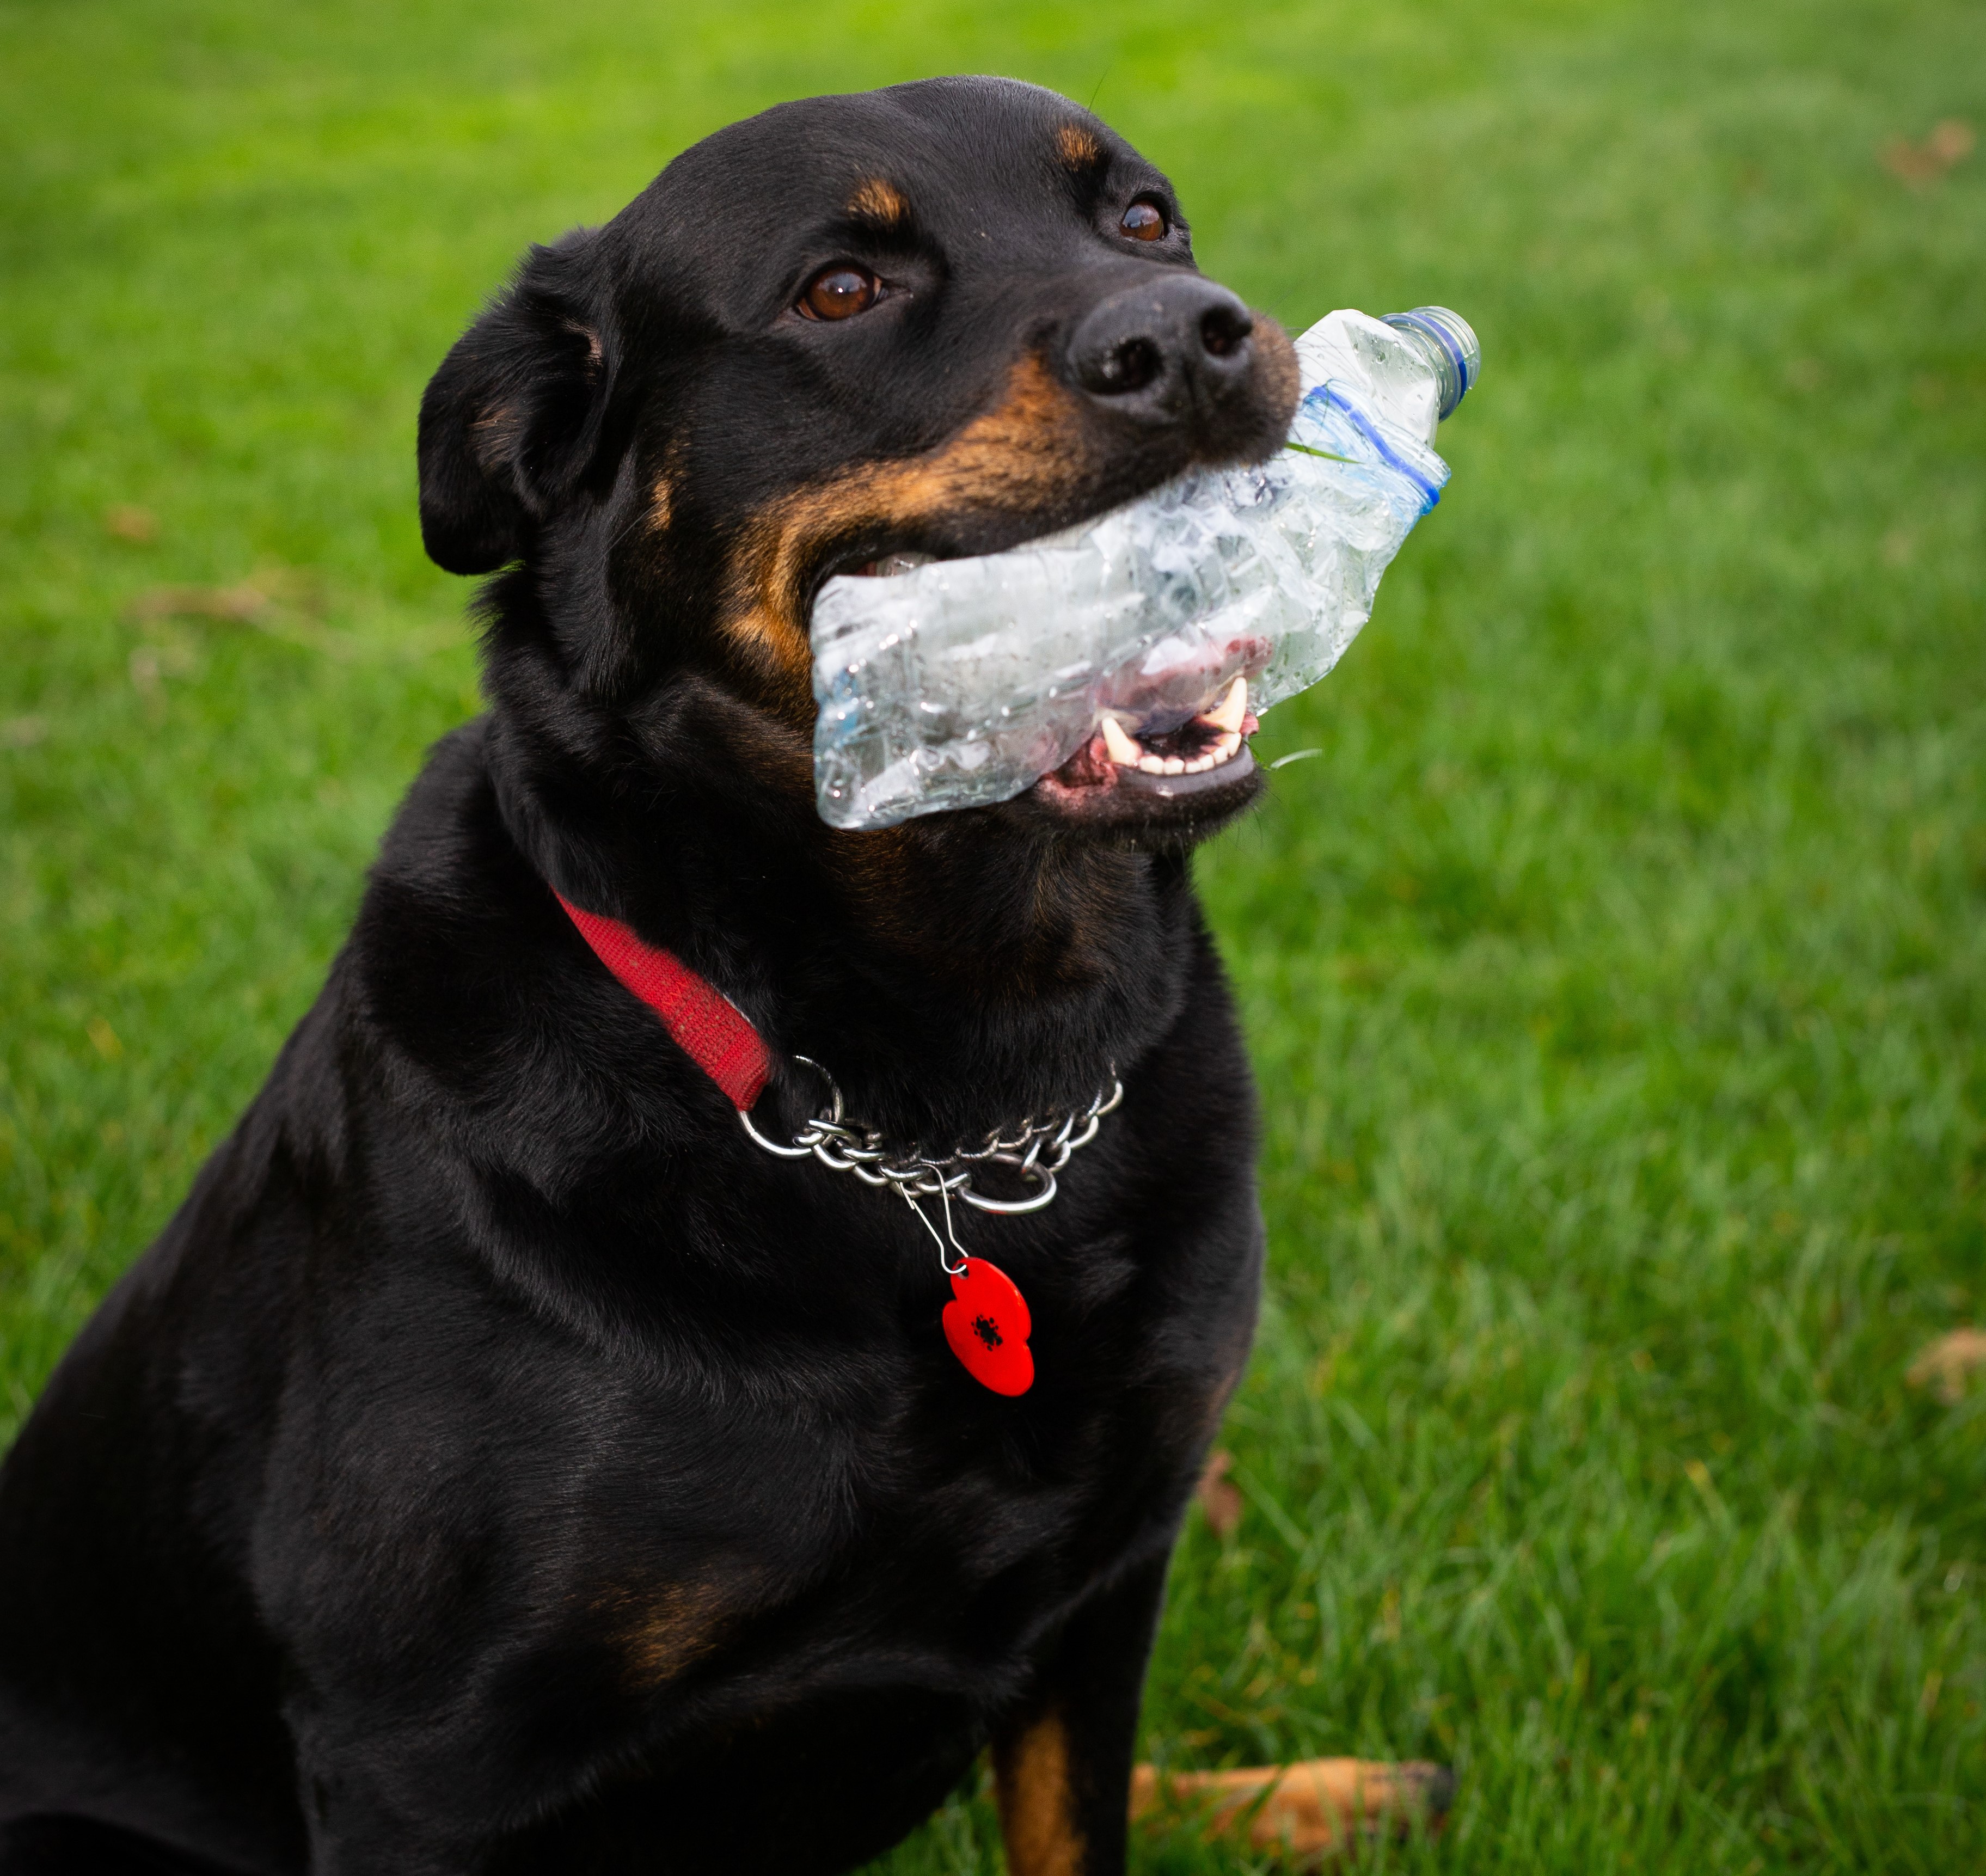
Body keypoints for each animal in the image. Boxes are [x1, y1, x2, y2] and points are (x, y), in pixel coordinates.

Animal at [0, 80, 1303, 1874]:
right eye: (841, 288)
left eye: (1144, 220)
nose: (1187, 337)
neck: (945, 1090)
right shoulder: (418, 1762)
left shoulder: (1103, 1590)